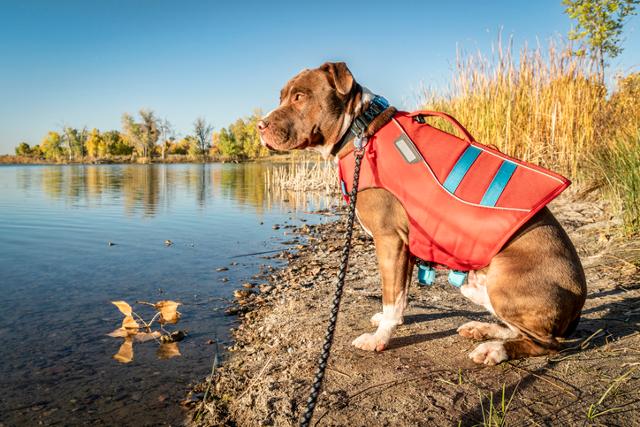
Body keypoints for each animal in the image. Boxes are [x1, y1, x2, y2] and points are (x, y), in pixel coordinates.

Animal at [258, 61, 588, 366]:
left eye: (300, 97)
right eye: (282, 96)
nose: (259, 126)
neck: (359, 129)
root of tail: (580, 298)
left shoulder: (390, 239)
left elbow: (391, 294)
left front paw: (379, 339)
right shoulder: (403, 245)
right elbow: (400, 293)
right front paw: (390, 322)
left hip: (505, 284)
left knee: (547, 343)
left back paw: (495, 349)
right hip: (475, 284)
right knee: (519, 329)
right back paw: (483, 329)